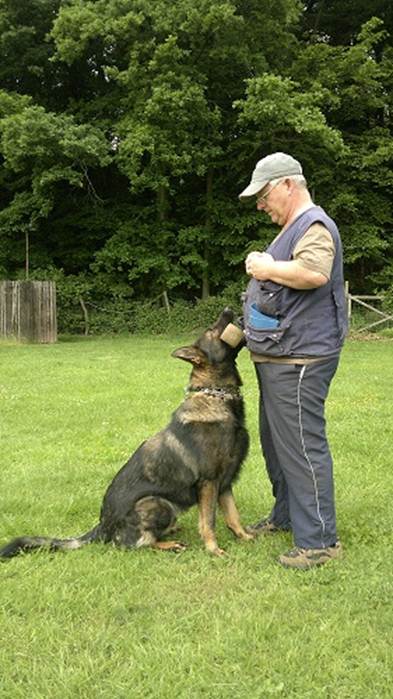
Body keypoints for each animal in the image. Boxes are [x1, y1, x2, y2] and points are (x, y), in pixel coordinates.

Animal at [0, 308, 253, 560]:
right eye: (211, 330)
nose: (229, 309)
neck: (215, 395)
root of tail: (103, 525)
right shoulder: (208, 483)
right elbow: (208, 521)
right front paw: (213, 549)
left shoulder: (225, 482)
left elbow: (233, 515)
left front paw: (246, 537)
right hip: (157, 503)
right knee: (135, 543)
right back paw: (168, 544)